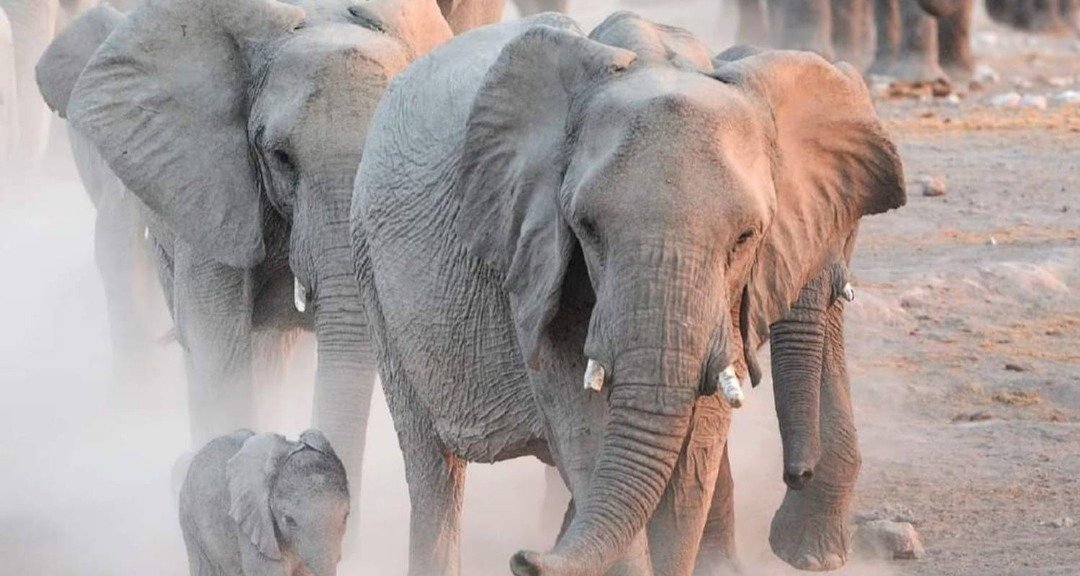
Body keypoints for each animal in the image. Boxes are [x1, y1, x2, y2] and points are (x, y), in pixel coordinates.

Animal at [351, 10, 905, 576]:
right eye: (587, 228)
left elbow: (694, 459)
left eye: (746, 237)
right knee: (432, 466)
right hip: (372, 267)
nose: (522, 559)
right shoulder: (538, 262)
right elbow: (588, 434)